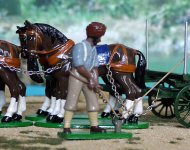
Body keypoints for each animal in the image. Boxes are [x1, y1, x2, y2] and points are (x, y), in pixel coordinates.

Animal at [17, 20, 146, 123]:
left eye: (30, 36)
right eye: (20, 38)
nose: (24, 54)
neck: (63, 53)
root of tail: (132, 50)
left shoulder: (63, 78)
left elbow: (61, 95)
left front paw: (57, 116)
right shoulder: (54, 78)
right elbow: (55, 93)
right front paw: (51, 113)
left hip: (122, 75)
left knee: (131, 91)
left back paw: (126, 116)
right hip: (112, 76)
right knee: (133, 90)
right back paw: (133, 116)